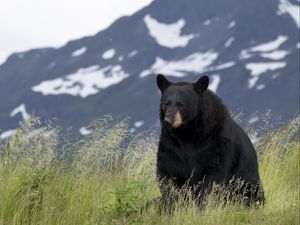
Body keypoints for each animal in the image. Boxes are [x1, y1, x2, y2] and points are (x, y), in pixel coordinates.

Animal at [156, 74, 264, 209]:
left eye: (181, 104)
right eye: (166, 103)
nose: (168, 120)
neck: (187, 134)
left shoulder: (217, 142)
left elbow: (213, 176)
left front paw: (202, 204)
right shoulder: (170, 144)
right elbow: (167, 171)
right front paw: (171, 203)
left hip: (249, 185)